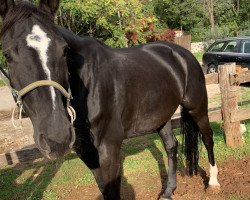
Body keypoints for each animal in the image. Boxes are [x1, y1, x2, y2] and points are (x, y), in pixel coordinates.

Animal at [0, 0, 219, 199]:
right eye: (7, 55)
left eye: (64, 50)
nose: (57, 139)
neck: (88, 84)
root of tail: (183, 53)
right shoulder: (87, 152)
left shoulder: (109, 150)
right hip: (161, 116)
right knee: (171, 146)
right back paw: (167, 192)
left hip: (197, 107)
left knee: (207, 138)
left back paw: (213, 182)